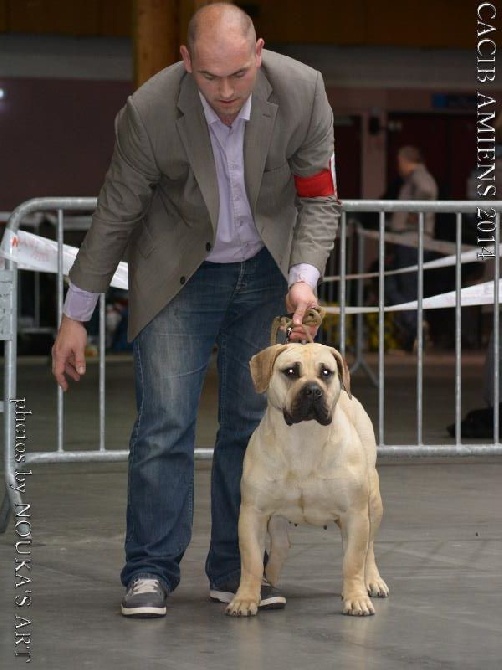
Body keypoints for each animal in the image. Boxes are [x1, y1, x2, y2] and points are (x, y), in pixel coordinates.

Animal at [226, 346, 388, 620]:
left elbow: (353, 560)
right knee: (280, 546)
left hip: (373, 505)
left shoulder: (355, 514)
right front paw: (245, 598)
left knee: (368, 548)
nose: (313, 389)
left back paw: (372, 581)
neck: (304, 438)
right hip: (277, 518)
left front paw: (356, 599)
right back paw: (270, 581)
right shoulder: (252, 514)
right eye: (291, 371)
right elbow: (251, 561)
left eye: (326, 372)